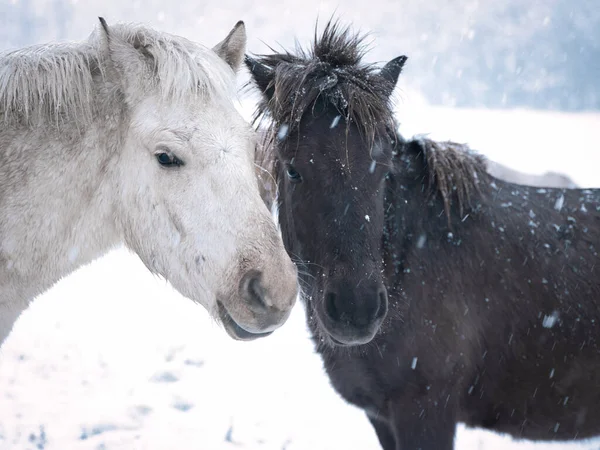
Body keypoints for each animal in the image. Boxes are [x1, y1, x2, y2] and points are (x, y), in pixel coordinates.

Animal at [244, 20, 600, 450]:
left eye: (381, 169)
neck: (407, 263)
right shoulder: (382, 417)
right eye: (293, 170)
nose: (356, 310)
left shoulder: (426, 411)